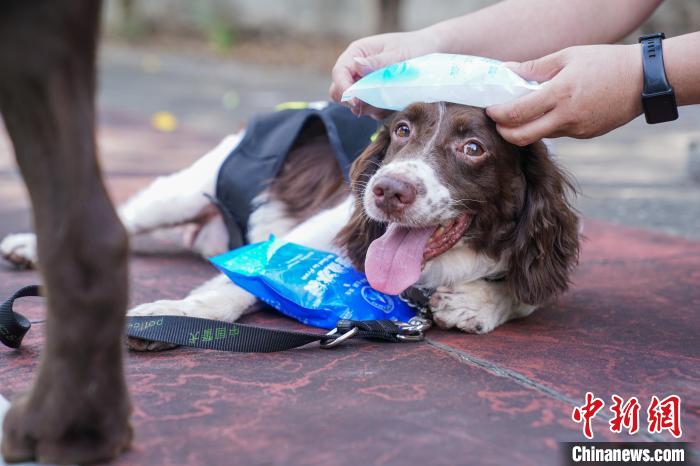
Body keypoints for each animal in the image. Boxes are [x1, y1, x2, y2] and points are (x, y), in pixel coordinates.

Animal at [0, 101, 580, 350]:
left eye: (473, 148)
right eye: (400, 130)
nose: (386, 190)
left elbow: (531, 292)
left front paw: (478, 302)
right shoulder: (316, 232)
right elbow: (232, 287)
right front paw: (172, 317)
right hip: (189, 185)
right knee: (130, 217)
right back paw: (31, 247)